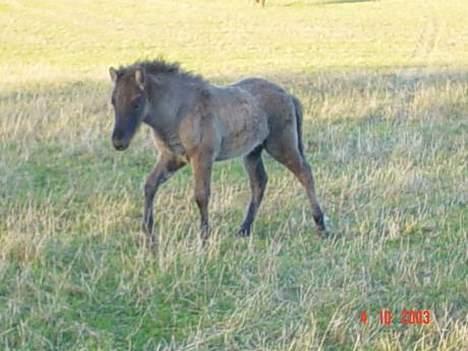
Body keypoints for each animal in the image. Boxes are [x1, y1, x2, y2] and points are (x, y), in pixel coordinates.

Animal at [109, 59, 326, 248]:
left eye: (136, 102)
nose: (118, 142)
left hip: (281, 145)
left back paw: (321, 226)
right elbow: (150, 185)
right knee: (259, 182)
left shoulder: (202, 157)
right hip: (252, 152)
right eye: (113, 101)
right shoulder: (172, 158)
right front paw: (148, 234)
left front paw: (204, 239)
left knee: (305, 173)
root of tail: (288, 95)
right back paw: (244, 229)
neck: (179, 111)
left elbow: (201, 195)